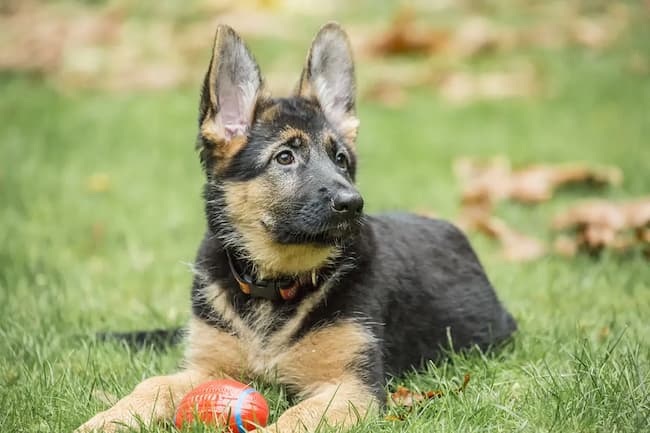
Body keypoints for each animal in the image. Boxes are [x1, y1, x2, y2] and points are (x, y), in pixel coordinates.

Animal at [77, 23, 512, 432]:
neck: (274, 285)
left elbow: (296, 418)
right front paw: (105, 420)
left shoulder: (351, 388)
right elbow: (152, 385)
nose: (353, 204)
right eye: (284, 157)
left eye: (340, 159)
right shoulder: (204, 369)